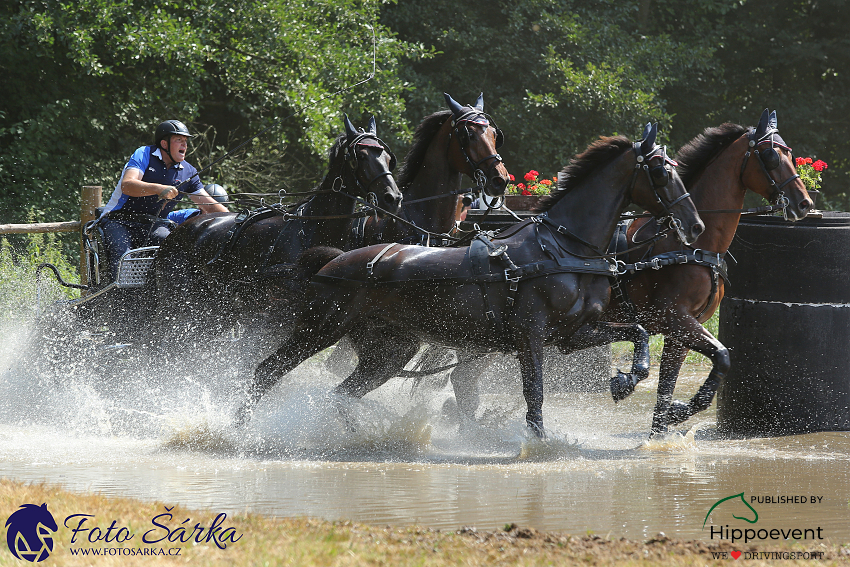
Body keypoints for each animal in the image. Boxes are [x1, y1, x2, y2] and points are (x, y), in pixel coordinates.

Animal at [237, 123, 704, 434]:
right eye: (661, 171)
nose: (694, 225)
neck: (562, 247)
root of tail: (331, 262)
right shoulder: (531, 334)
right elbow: (534, 392)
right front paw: (536, 441)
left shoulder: (572, 334)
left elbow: (638, 334)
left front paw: (626, 380)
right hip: (321, 328)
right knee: (264, 372)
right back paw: (239, 429)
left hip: (388, 351)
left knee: (342, 392)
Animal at [556, 107, 808, 434]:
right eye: (771, 155)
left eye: (789, 153)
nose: (804, 203)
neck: (693, 244)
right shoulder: (676, 319)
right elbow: (722, 357)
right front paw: (672, 409)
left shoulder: (683, 331)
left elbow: (667, 387)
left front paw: (666, 424)